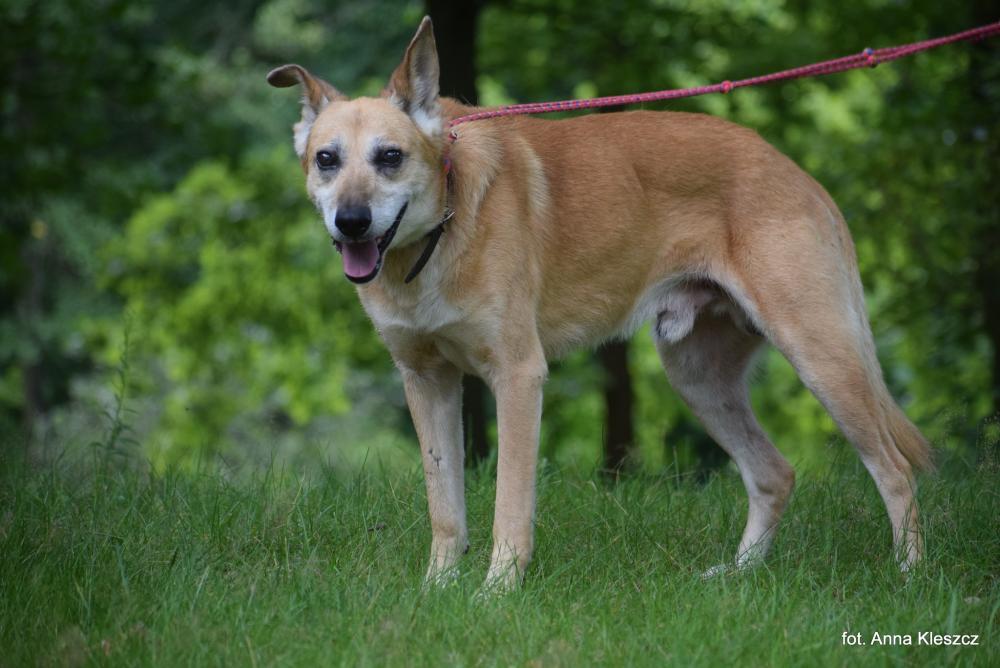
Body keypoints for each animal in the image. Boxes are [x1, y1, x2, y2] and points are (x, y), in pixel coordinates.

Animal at [267, 16, 932, 589]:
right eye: (326, 160)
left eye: (390, 157)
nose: (351, 222)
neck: (437, 234)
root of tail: (797, 173)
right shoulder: (427, 381)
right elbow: (446, 507)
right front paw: (438, 590)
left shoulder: (518, 377)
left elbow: (509, 506)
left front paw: (495, 593)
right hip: (698, 376)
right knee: (774, 474)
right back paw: (738, 576)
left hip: (821, 357)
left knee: (895, 471)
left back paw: (909, 577)